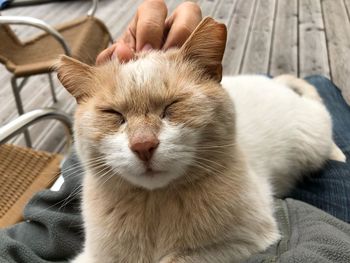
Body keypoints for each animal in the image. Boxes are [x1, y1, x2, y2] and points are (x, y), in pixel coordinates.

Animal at [56, 17, 344, 262]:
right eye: (114, 114)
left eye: (172, 106)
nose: (143, 145)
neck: (155, 204)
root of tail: (273, 83)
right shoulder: (94, 256)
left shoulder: (245, 240)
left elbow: (178, 258)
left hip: (312, 138)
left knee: (321, 108)